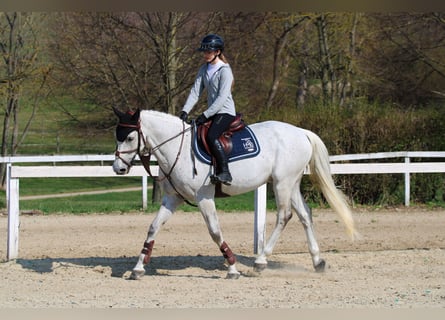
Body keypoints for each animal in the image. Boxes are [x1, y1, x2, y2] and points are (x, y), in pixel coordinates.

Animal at [112, 108, 358, 280]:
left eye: (130, 138)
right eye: (118, 137)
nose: (118, 168)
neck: (176, 149)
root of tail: (301, 132)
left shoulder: (204, 198)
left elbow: (214, 231)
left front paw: (232, 267)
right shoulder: (172, 199)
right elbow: (153, 228)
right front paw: (138, 267)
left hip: (282, 183)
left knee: (284, 216)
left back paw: (261, 261)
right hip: (291, 183)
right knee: (305, 215)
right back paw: (317, 261)